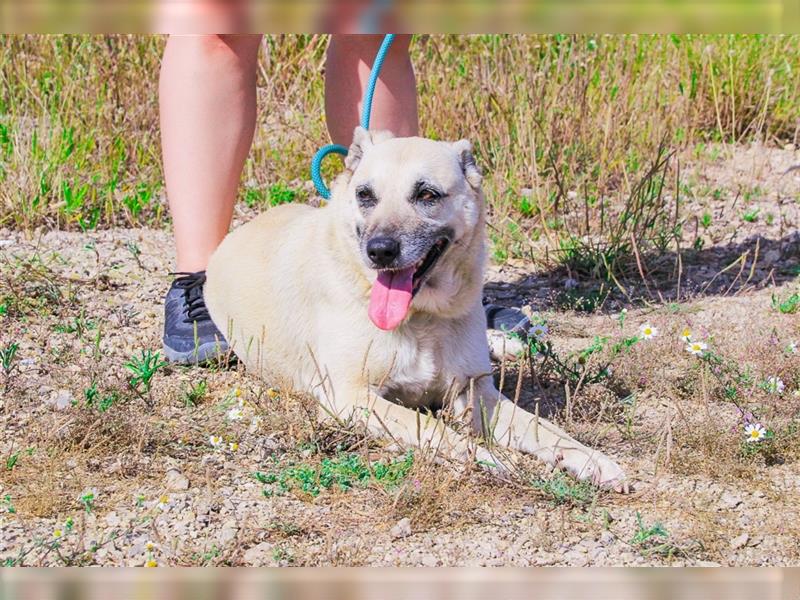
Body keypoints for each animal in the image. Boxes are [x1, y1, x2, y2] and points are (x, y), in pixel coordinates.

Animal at [203, 127, 628, 492]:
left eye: (427, 195)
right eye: (365, 195)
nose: (379, 251)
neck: (423, 317)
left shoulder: (476, 392)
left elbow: (542, 427)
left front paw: (591, 459)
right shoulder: (351, 397)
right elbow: (433, 429)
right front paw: (483, 457)